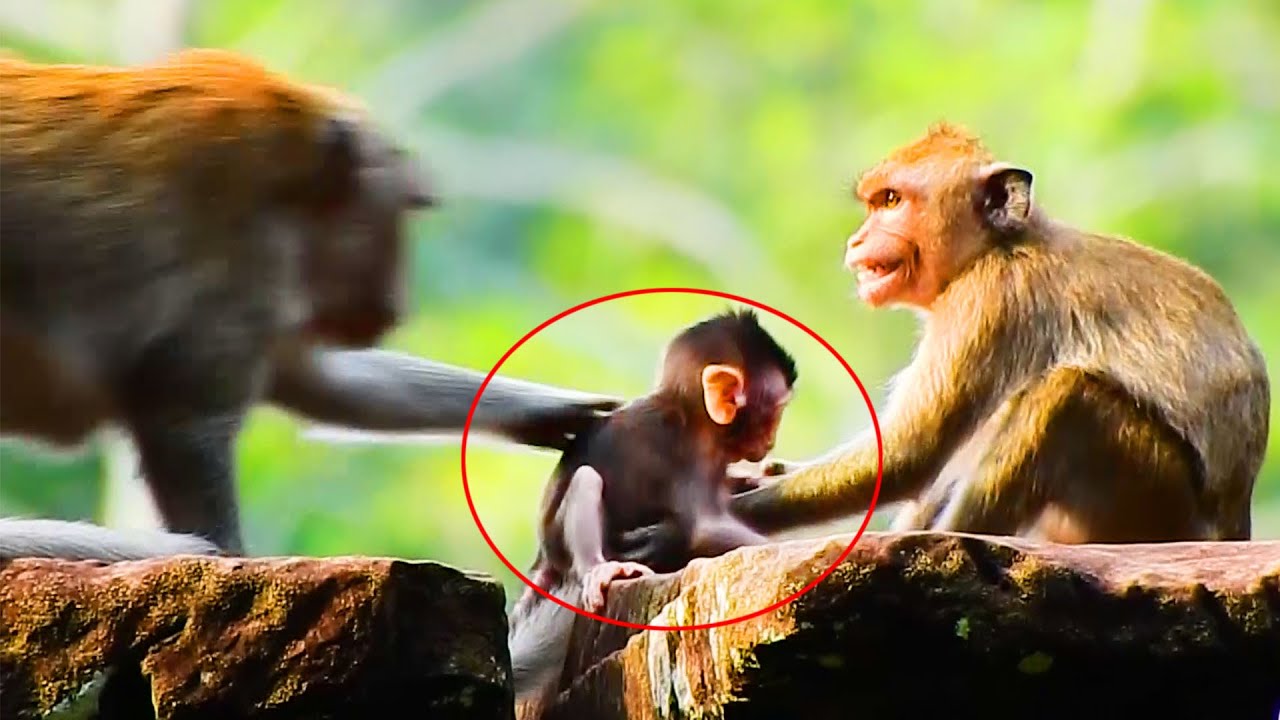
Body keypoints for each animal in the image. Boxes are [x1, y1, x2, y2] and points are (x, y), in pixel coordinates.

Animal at [0, 49, 620, 561]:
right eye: (400, 215)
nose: (398, 305)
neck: (293, 189)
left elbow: (320, 382)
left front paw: (555, 411)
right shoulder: (244, 263)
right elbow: (187, 422)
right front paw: (228, 552)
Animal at [506, 308, 799, 716]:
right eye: (775, 414)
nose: (771, 440)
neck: (690, 410)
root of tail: (543, 561)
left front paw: (759, 477)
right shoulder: (691, 452)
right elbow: (706, 527)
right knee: (586, 480)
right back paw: (602, 568)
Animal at [624, 122, 1270, 551]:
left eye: (891, 201)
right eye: (874, 202)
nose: (857, 240)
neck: (998, 247)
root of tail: (1232, 526)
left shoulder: (985, 301)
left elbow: (912, 452)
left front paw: (677, 530)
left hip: (1154, 507)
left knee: (1066, 398)